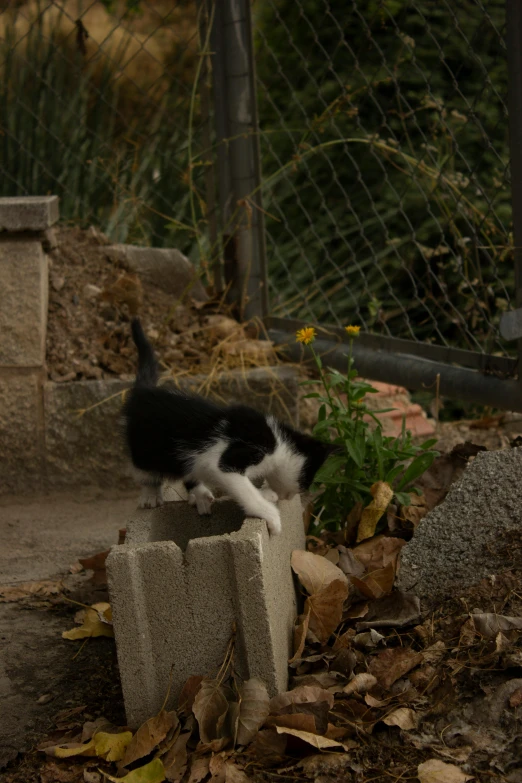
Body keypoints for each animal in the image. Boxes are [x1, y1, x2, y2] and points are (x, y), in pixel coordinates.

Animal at [121, 316, 334, 532]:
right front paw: (271, 515)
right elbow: (245, 489)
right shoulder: (230, 458)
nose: (290, 497)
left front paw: (267, 494)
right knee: (145, 470)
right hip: (146, 448)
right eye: (306, 481)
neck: (279, 441)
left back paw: (199, 494)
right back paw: (150, 494)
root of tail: (143, 392)